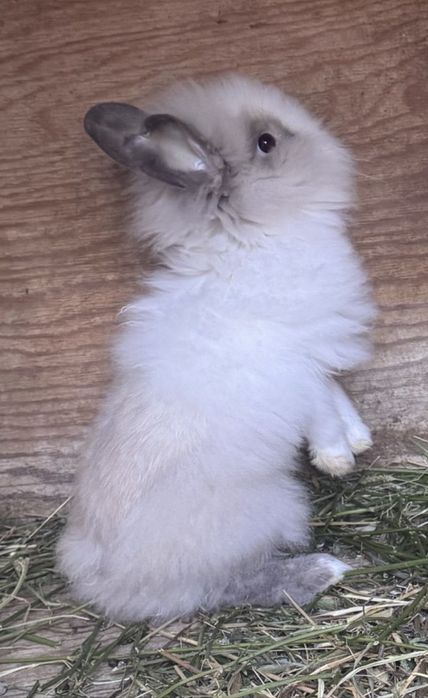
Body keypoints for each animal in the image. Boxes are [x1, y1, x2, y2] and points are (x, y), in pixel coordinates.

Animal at [57, 74, 375, 621]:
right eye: (267, 142)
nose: (333, 144)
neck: (250, 240)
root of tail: (100, 580)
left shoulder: (314, 349)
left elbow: (337, 394)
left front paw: (359, 440)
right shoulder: (293, 359)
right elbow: (321, 406)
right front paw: (337, 458)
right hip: (268, 507)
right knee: (220, 587)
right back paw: (319, 570)